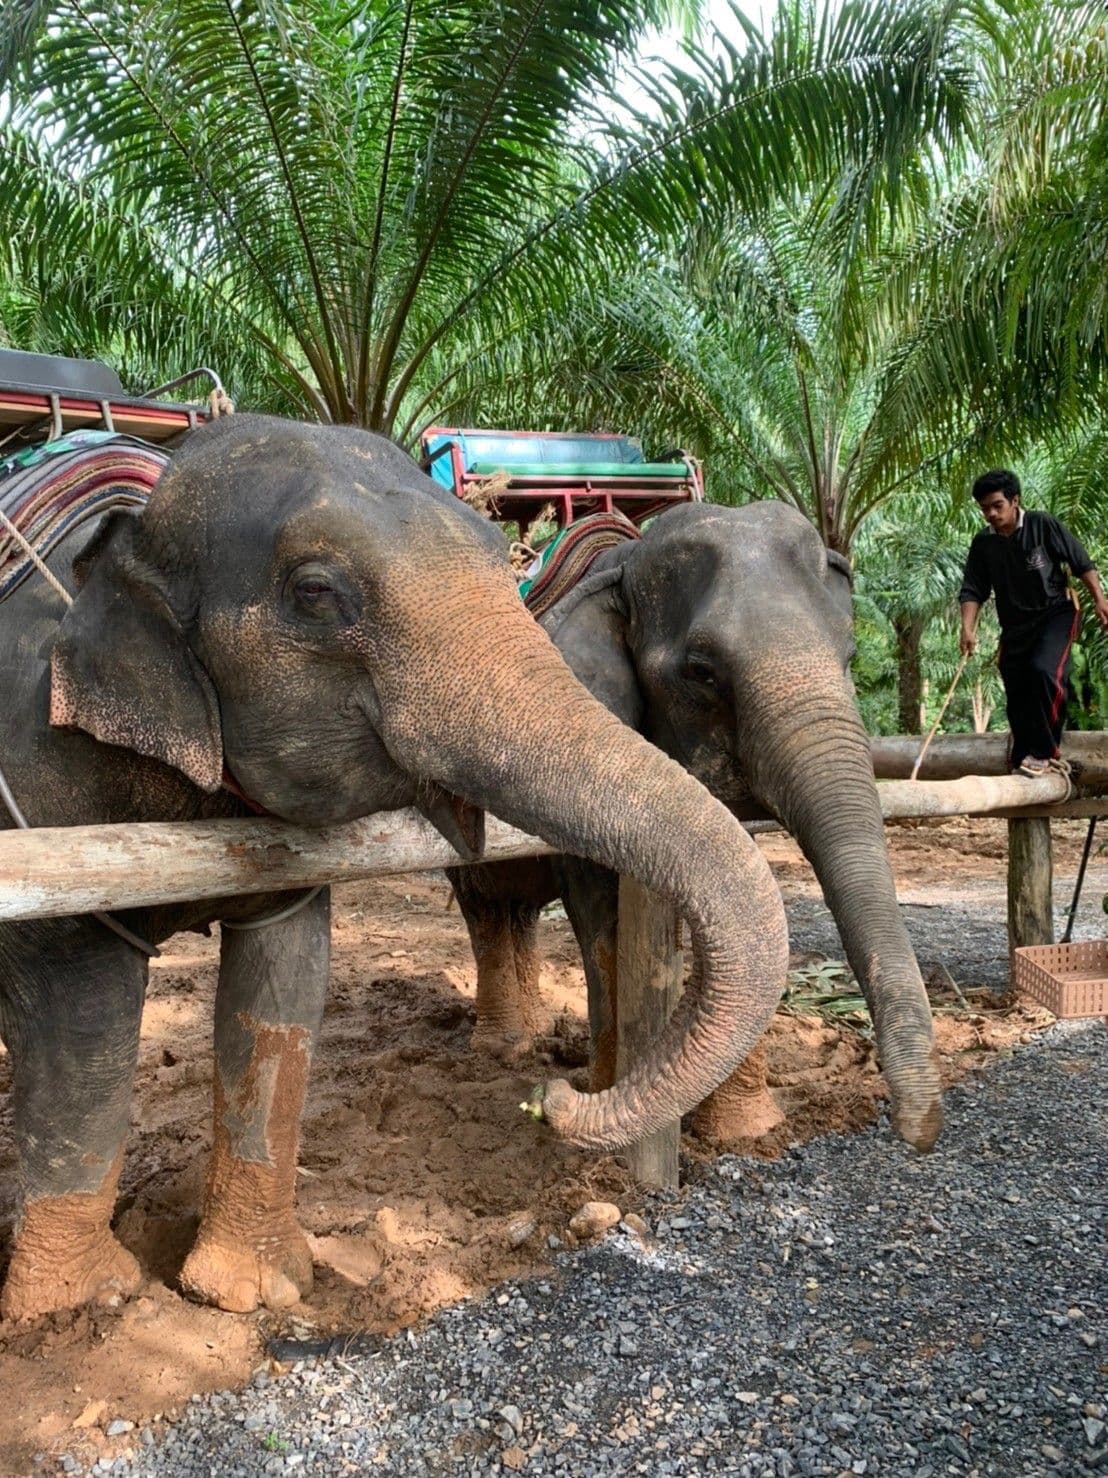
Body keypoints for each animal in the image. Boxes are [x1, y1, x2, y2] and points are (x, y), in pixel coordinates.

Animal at [0, 415, 788, 1321]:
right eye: (314, 593)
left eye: (500, 557)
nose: (551, 1101)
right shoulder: (35, 773)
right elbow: (82, 1011)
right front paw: (80, 1305)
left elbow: (281, 985)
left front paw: (251, 1293)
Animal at [450, 501, 942, 1152]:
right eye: (702, 672)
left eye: (850, 656)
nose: (917, 1132)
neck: (625, 565)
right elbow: (598, 910)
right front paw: (602, 1101)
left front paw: (743, 1132)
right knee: (483, 905)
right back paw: (504, 1050)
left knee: (518, 910)